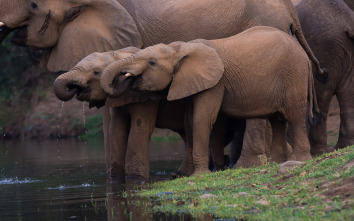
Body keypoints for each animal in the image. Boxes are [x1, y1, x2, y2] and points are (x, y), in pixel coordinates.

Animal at [99, 25, 318, 174]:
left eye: (151, 63)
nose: (127, 78)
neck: (181, 48)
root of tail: (305, 56)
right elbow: (190, 120)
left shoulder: (215, 83)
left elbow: (203, 118)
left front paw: (200, 175)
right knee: (277, 120)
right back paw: (278, 163)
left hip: (293, 75)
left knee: (295, 116)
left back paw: (299, 161)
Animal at [290, 0, 354, 155]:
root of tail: (347, 20)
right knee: (348, 94)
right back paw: (343, 146)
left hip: (323, 47)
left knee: (320, 98)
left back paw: (318, 152)